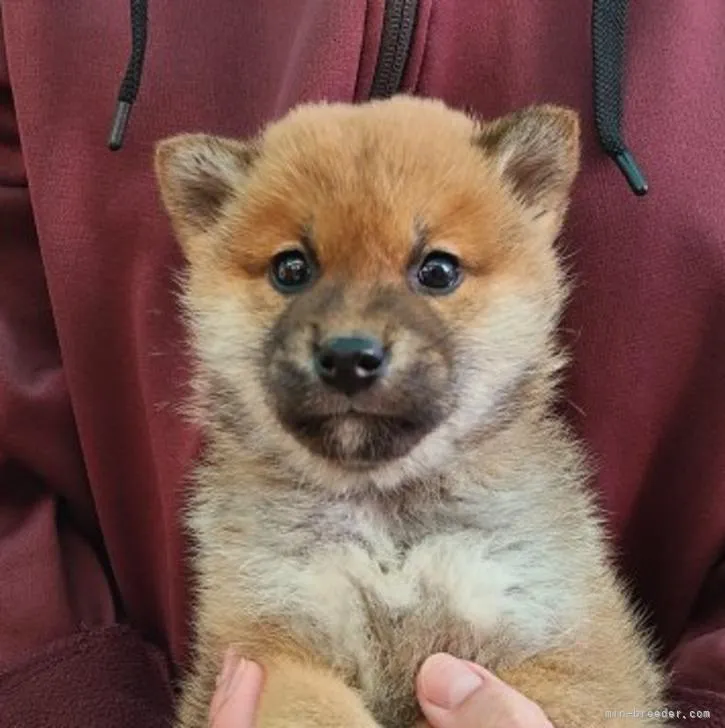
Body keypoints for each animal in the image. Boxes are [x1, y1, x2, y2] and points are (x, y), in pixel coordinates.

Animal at [156, 98, 664, 728]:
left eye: (437, 271)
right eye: (291, 270)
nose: (349, 357)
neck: (389, 525)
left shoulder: (568, 653)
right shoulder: (272, 639)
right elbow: (315, 709)